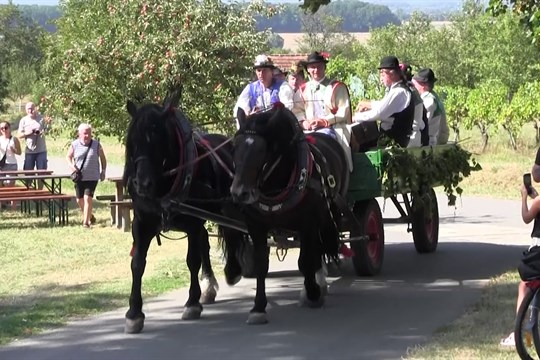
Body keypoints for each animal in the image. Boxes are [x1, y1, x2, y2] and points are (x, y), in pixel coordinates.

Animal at [123, 92, 244, 332]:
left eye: (158, 140)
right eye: (133, 141)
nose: (142, 184)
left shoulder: (193, 222)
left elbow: (192, 260)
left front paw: (192, 303)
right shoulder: (142, 223)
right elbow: (137, 264)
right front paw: (134, 313)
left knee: (231, 233)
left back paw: (232, 271)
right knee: (206, 240)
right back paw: (209, 286)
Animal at [230, 105, 348, 324]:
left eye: (262, 150)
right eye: (234, 148)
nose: (239, 193)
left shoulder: (308, 223)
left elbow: (306, 261)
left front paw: (312, 293)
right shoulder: (256, 226)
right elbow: (261, 265)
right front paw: (258, 308)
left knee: (318, 250)